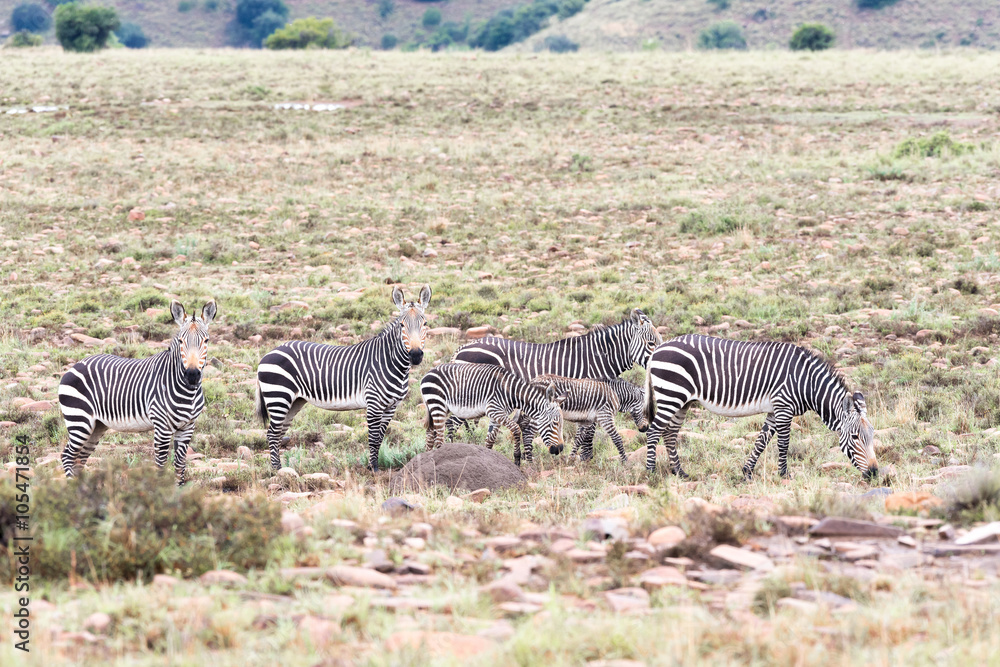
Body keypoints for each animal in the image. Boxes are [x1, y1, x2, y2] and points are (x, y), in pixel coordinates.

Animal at [58, 300, 218, 484]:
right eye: (181, 341)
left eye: (206, 340)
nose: (192, 375)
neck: (187, 392)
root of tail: (76, 365)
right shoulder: (162, 427)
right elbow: (161, 465)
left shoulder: (187, 427)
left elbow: (180, 466)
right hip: (79, 421)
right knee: (68, 456)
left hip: (96, 425)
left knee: (80, 459)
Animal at [255, 285, 431, 472]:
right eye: (402, 325)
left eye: (425, 324)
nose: (415, 355)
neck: (390, 362)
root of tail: (268, 354)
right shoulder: (374, 404)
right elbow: (373, 439)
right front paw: (374, 469)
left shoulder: (391, 406)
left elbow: (380, 438)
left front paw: (372, 466)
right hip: (279, 397)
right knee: (272, 434)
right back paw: (277, 470)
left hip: (294, 401)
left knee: (279, 433)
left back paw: (281, 468)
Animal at [420, 362, 566, 465]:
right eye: (555, 423)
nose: (560, 448)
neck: (510, 392)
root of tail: (427, 373)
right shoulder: (495, 410)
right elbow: (516, 428)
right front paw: (517, 459)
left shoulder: (495, 415)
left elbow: (490, 440)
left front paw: (489, 459)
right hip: (437, 404)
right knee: (438, 438)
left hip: (440, 407)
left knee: (430, 433)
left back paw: (427, 458)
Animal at [642, 334, 877, 480]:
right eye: (855, 437)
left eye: (872, 435)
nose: (875, 473)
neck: (807, 382)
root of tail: (657, 349)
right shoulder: (784, 407)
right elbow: (783, 444)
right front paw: (784, 474)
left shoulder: (774, 410)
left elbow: (761, 441)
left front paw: (746, 471)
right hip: (672, 395)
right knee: (654, 431)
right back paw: (651, 472)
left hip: (683, 401)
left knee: (670, 433)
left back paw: (679, 472)